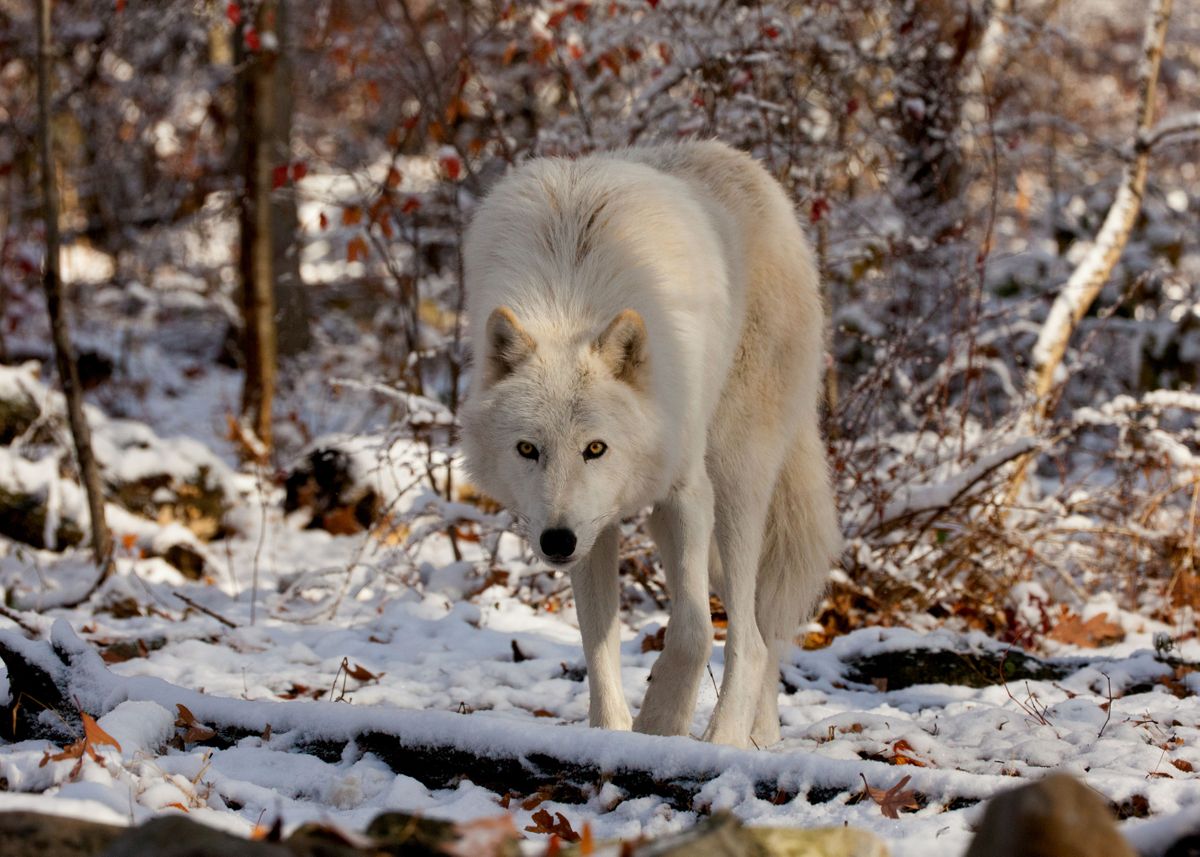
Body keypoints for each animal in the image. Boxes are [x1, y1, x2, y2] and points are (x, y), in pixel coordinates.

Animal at [458, 138, 844, 739]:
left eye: (595, 448)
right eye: (527, 450)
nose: (556, 543)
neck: (569, 294)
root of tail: (744, 164)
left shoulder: (684, 495)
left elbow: (693, 631)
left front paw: (661, 724)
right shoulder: (593, 524)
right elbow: (599, 646)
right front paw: (612, 732)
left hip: (735, 479)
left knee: (751, 637)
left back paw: (727, 739)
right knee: (762, 628)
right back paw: (761, 739)